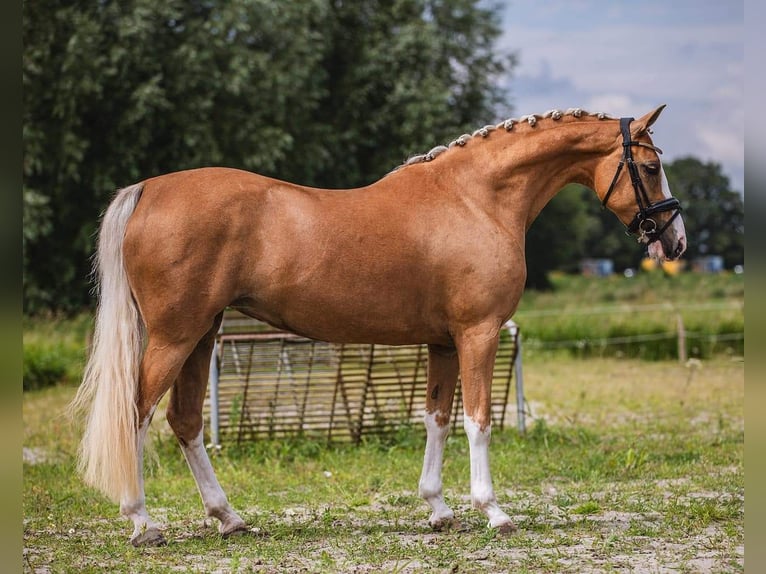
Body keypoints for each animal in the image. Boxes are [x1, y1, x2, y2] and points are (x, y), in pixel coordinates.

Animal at [69, 104, 688, 548]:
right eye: (650, 166)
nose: (675, 242)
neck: (476, 199)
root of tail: (149, 188)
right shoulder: (479, 333)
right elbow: (479, 420)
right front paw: (494, 512)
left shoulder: (443, 342)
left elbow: (437, 418)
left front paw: (439, 509)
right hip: (176, 336)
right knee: (136, 414)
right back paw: (143, 523)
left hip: (202, 335)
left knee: (185, 420)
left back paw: (229, 519)